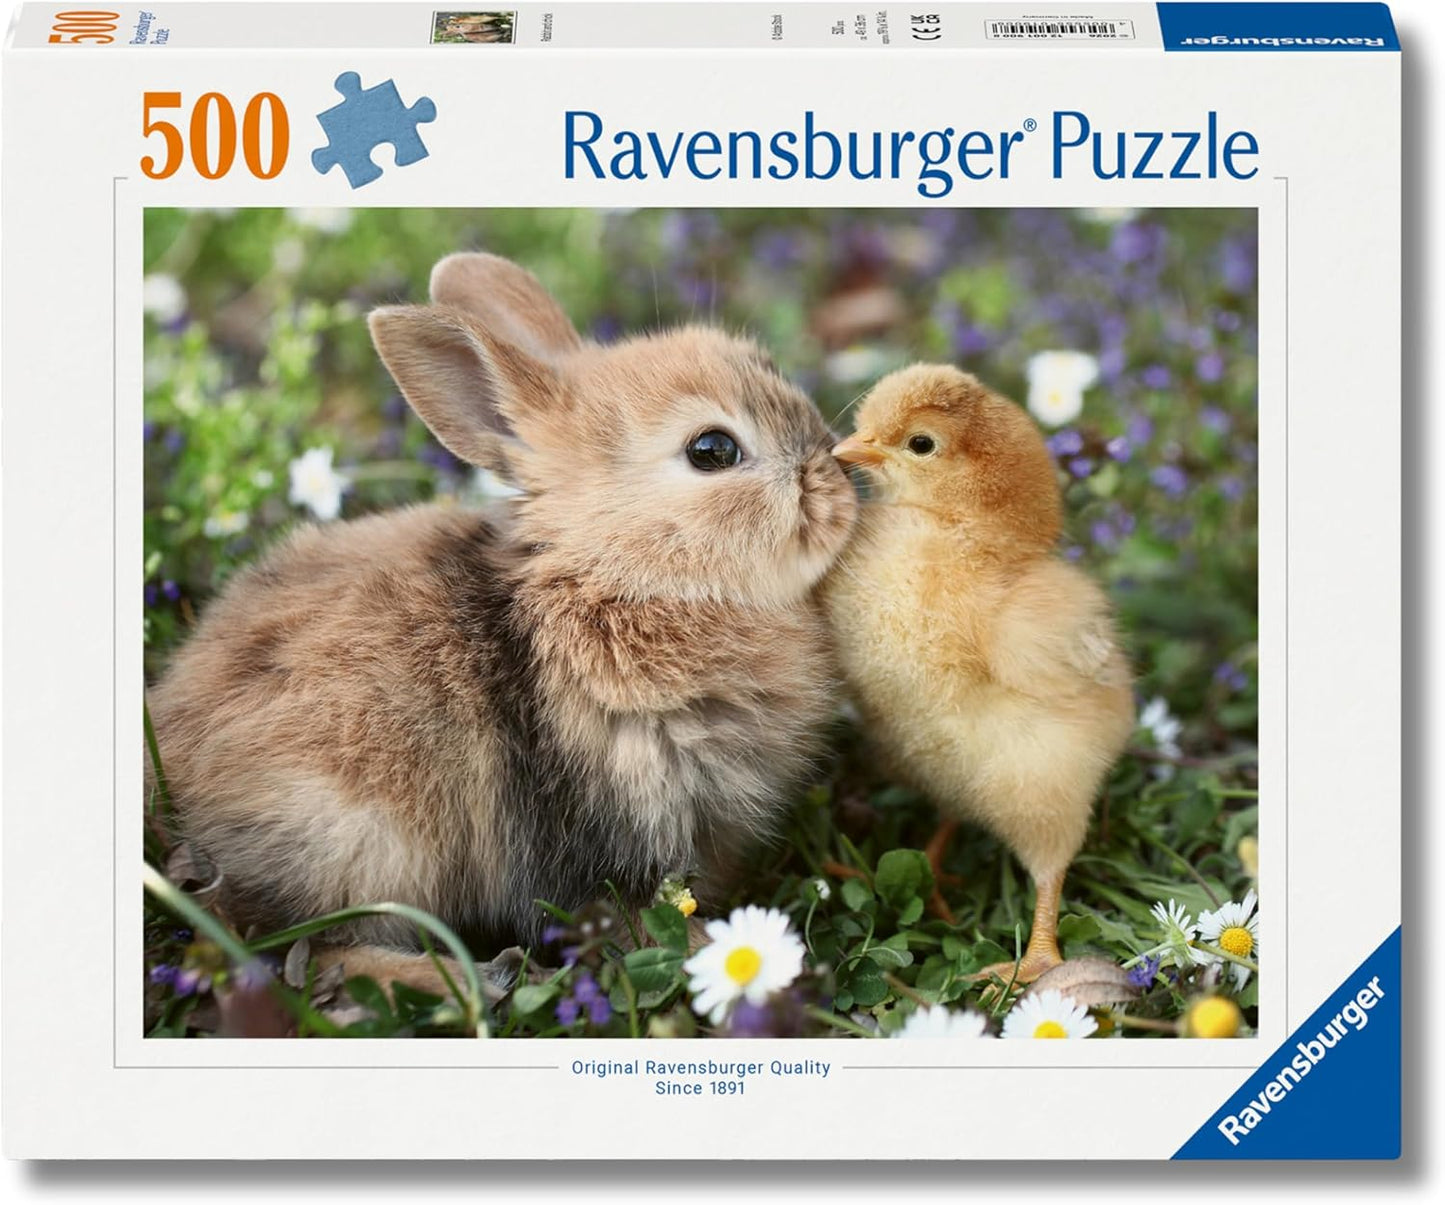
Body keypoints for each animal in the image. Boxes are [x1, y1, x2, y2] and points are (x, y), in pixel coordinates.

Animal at [147, 251, 858, 980]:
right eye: (712, 450)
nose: (837, 477)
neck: (616, 576)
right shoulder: (599, 829)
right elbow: (629, 914)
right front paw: (719, 952)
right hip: (352, 833)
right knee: (302, 948)